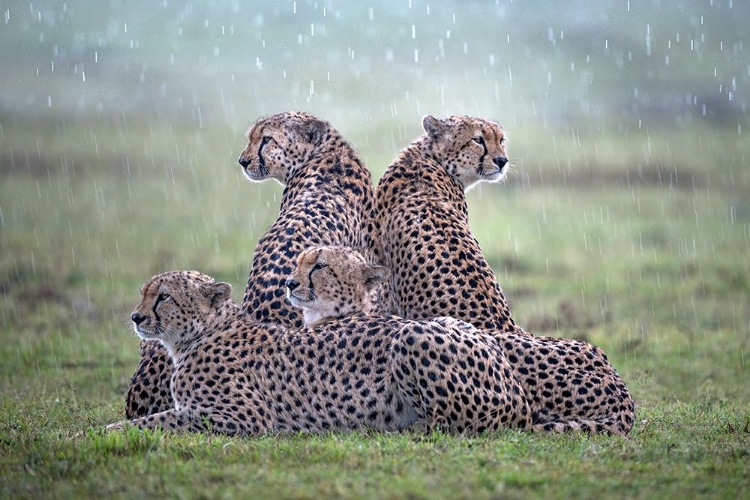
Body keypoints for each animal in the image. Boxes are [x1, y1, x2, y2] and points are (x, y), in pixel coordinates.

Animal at [110, 272, 536, 436]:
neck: (197, 336)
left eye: (163, 297)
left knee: (454, 426)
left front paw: (104, 431)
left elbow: (160, 420)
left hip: (412, 334)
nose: (135, 316)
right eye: (144, 292)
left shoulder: (243, 419)